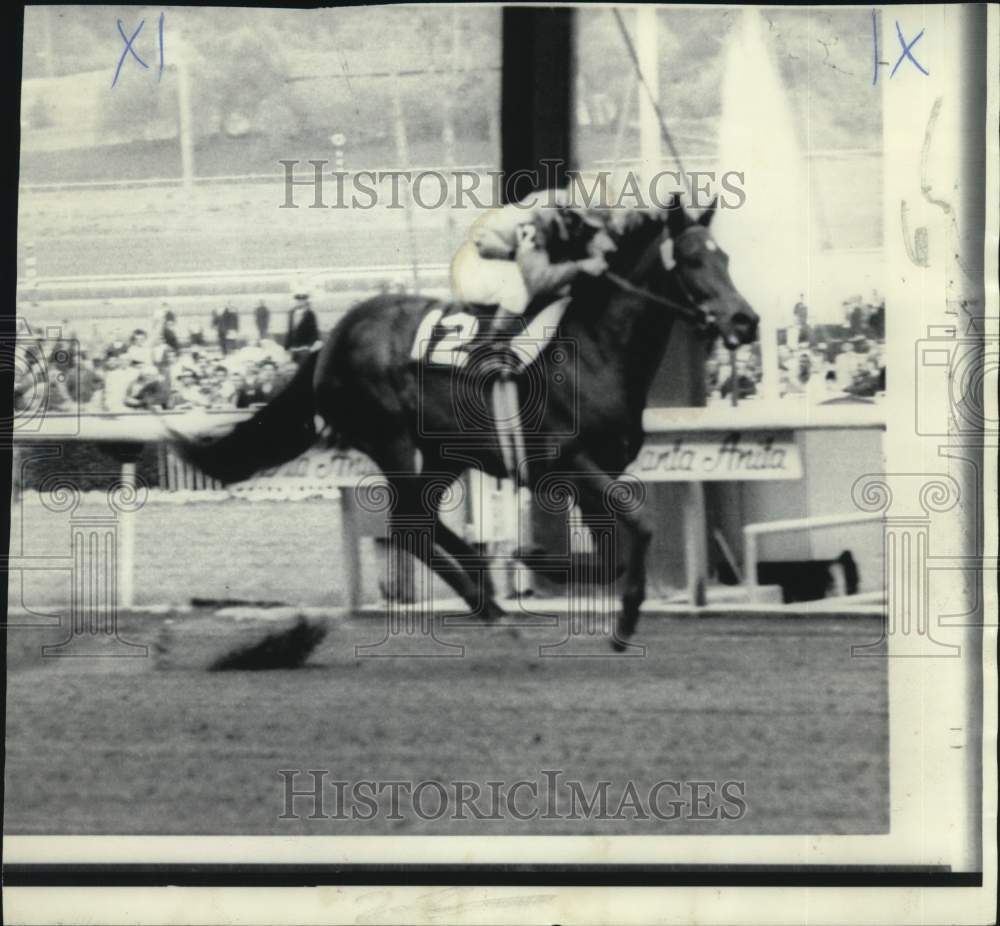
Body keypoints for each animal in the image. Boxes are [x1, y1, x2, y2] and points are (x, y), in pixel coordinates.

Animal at [178, 195, 756, 644]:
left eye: (726, 257)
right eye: (691, 260)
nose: (746, 320)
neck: (596, 349)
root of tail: (331, 339)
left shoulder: (599, 468)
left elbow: (615, 549)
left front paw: (617, 613)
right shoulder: (565, 462)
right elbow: (639, 523)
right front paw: (538, 561)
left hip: (443, 451)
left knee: (419, 521)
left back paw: (484, 588)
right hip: (391, 439)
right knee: (408, 525)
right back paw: (489, 604)